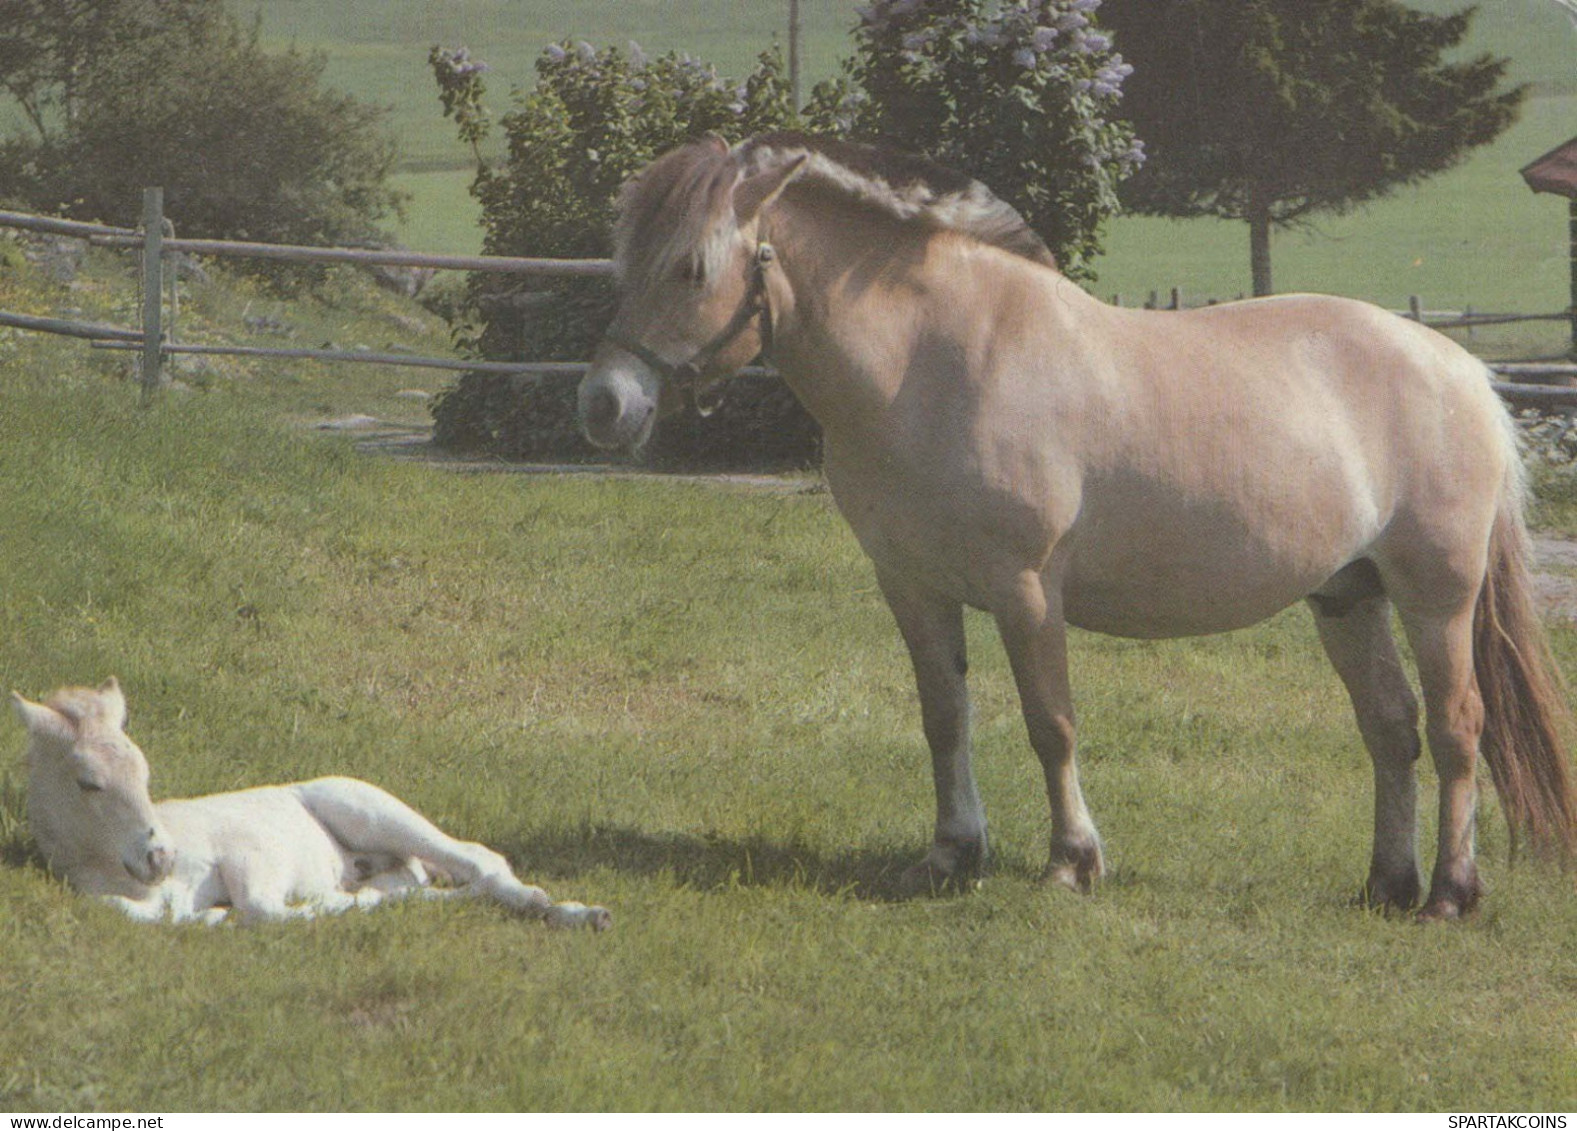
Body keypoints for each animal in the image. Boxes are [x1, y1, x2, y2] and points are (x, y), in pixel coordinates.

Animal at [13, 678, 615, 927]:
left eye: (144, 772)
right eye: (89, 783)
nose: (161, 857)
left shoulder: (249, 852)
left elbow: (263, 909)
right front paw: (216, 918)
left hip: (371, 812)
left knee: (479, 859)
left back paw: (574, 912)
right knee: (419, 880)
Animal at [580, 130, 1577, 914]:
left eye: (692, 267)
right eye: (625, 261)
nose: (605, 404)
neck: (932, 363)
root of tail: (1462, 371)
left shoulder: (1026, 590)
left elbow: (1048, 721)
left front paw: (1071, 862)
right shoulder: (912, 586)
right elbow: (944, 716)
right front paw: (951, 853)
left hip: (1435, 597)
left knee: (1455, 728)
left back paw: (1448, 893)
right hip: (1346, 595)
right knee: (1390, 728)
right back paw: (1385, 884)